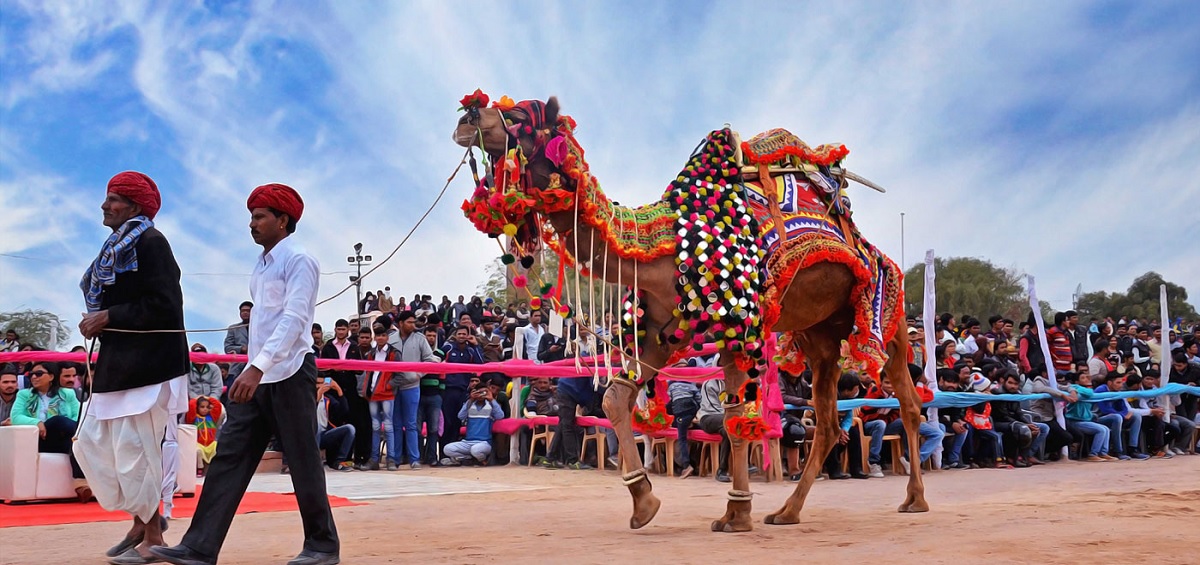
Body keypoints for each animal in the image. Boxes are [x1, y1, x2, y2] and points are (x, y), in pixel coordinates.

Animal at [452, 93, 928, 532]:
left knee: (908, 403)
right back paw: (787, 511)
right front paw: (644, 501)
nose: (466, 118)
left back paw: (914, 500)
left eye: (518, 117)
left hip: (886, 313)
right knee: (828, 423)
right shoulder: (662, 331)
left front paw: (736, 514)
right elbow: (614, 398)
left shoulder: (739, 326)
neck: (665, 246)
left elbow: (735, 419)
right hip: (821, 336)